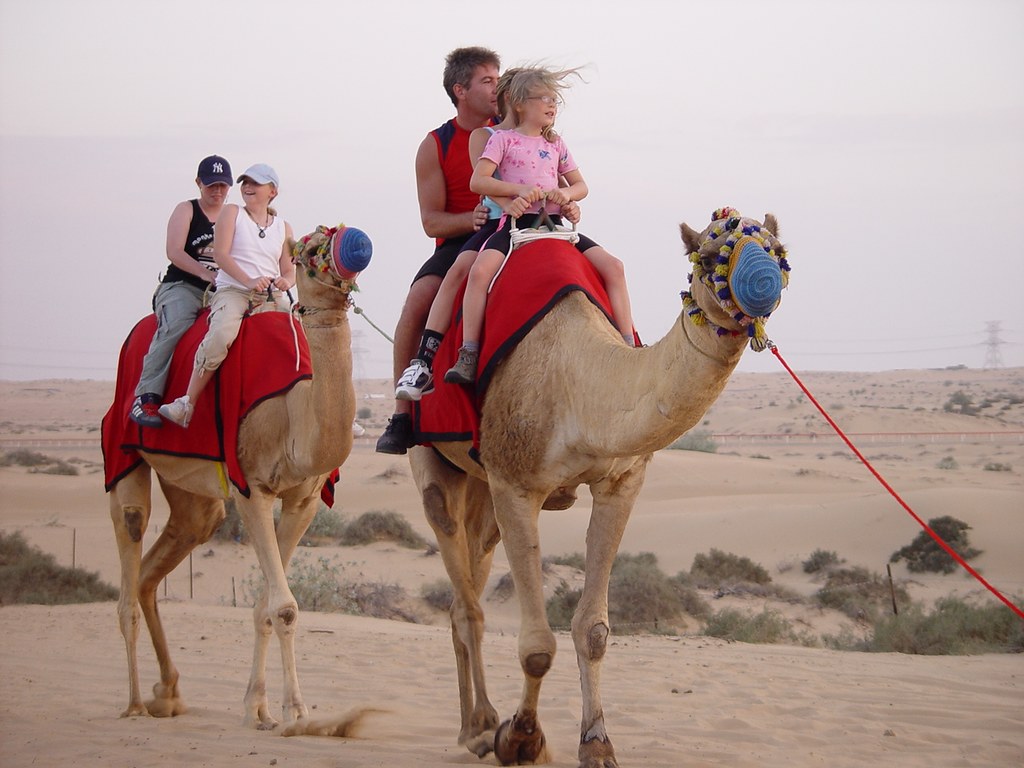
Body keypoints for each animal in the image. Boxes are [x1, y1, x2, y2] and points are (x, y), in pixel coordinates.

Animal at [107, 224, 368, 732]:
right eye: (309, 248)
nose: (357, 245)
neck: (293, 412)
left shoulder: (304, 500)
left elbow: (265, 607)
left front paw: (258, 707)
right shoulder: (252, 488)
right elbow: (283, 606)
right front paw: (296, 711)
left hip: (194, 497)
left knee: (157, 565)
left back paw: (168, 693)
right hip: (123, 453)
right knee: (129, 548)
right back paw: (132, 703)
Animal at [410, 209, 789, 767]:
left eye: (779, 250)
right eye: (710, 256)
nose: (763, 283)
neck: (579, 384)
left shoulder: (620, 482)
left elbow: (594, 631)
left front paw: (597, 744)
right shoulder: (515, 484)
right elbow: (537, 646)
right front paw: (521, 738)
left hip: (482, 485)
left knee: (470, 583)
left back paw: (475, 724)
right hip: (437, 458)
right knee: (463, 588)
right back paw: (479, 728)